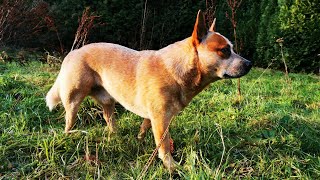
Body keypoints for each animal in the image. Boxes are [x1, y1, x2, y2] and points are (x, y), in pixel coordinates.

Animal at [46, 10, 252, 171]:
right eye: (224, 50)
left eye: (232, 48)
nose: (249, 63)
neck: (178, 69)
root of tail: (73, 52)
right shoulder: (161, 119)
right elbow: (164, 145)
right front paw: (171, 166)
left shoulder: (156, 116)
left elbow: (145, 128)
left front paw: (140, 140)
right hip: (73, 98)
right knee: (69, 119)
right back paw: (69, 136)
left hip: (107, 99)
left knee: (108, 116)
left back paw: (115, 135)